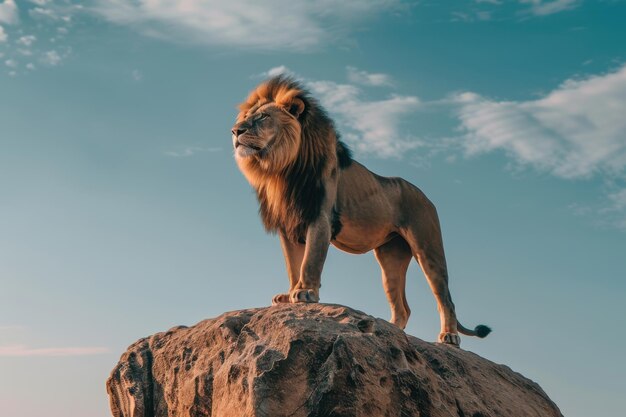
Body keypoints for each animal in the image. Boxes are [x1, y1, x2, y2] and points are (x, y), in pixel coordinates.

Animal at [229, 75, 488, 344]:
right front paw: (289, 294)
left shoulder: (320, 218)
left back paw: (449, 336)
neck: (281, 169)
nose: (235, 131)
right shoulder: (289, 226)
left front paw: (305, 293)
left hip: (428, 248)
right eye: (246, 116)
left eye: (263, 117)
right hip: (390, 257)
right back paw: (388, 329)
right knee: (403, 307)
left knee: (445, 298)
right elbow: (293, 265)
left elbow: (310, 261)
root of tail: (427, 197)